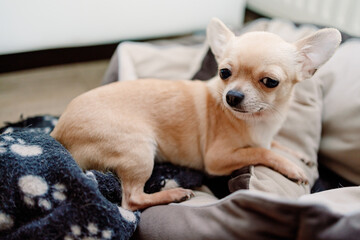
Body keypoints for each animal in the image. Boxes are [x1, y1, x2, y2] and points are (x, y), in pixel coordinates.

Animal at [50, 18, 340, 210]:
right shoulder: (217, 159)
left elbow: (272, 145)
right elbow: (261, 152)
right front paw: (291, 167)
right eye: (224, 73)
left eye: (270, 82)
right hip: (138, 149)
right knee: (131, 201)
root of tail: (57, 132)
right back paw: (174, 194)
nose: (232, 96)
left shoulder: (265, 137)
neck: (261, 121)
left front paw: (298, 154)